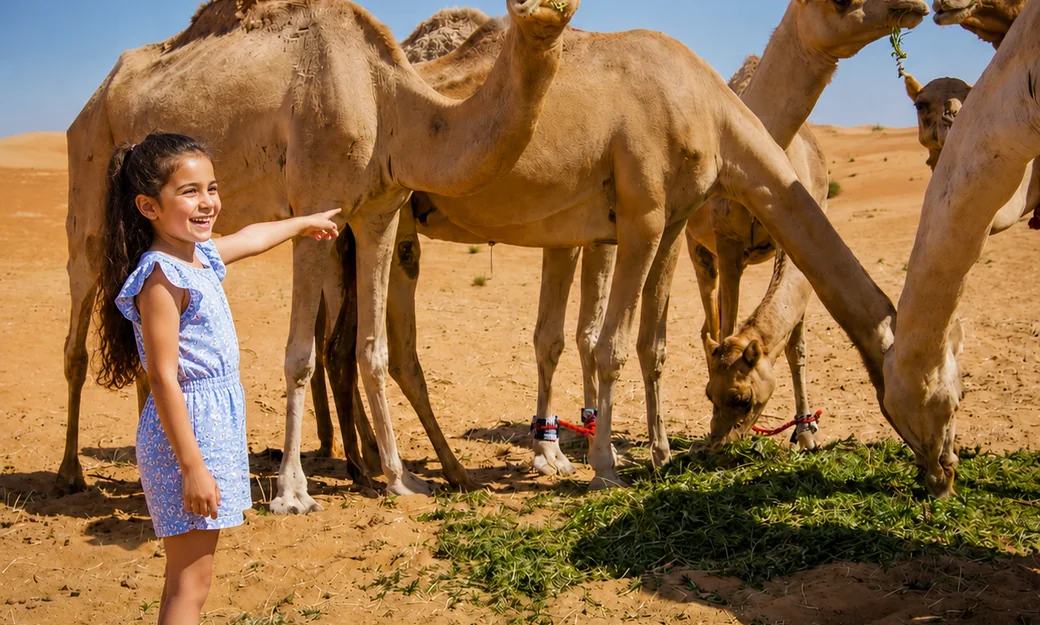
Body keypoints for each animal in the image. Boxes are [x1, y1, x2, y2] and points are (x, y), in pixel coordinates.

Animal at [59, 0, 581, 510]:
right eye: (514, 8)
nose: (546, 10)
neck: (387, 99)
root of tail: (92, 101)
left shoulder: (380, 212)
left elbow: (373, 349)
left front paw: (400, 478)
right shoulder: (313, 207)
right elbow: (300, 357)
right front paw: (292, 491)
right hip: (88, 182)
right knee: (79, 319)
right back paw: (70, 473)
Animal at [319, 0, 931, 491]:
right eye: (733, 398)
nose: (935, 463)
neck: (711, 108)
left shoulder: (672, 221)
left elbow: (648, 343)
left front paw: (657, 454)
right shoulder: (644, 216)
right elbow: (608, 344)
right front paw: (603, 466)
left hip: (369, 228)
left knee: (351, 347)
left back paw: (380, 465)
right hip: (382, 215)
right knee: (386, 350)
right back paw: (413, 472)